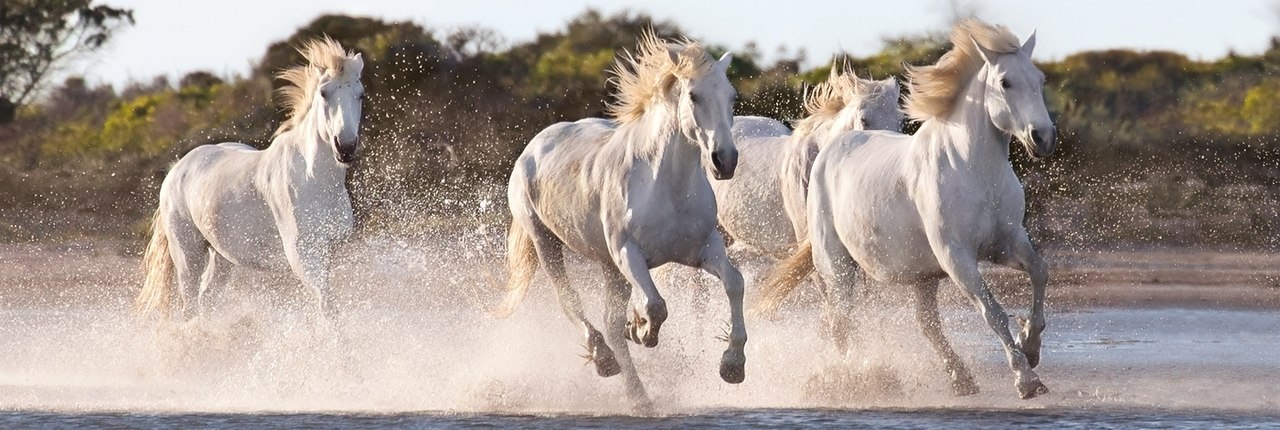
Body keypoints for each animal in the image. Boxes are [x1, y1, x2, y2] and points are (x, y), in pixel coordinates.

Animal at [136, 37, 366, 322]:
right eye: (324, 93)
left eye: (360, 94)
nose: (345, 147)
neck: (314, 180)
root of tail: (177, 168)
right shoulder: (302, 253)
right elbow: (327, 305)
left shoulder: (327, 249)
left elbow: (327, 304)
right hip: (188, 253)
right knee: (190, 304)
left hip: (222, 256)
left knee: (206, 299)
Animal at [494, 31, 747, 406]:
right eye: (693, 95)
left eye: (731, 96)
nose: (725, 160)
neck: (665, 187)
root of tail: (534, 146)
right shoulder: (628, 253)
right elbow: (656, 306)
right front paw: (641, 330)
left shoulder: (704, 249)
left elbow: (735, 283)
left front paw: (732, 364)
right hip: (546, 241)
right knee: (572, 302)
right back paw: (608, 363)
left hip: (608, 266)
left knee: (610, 321)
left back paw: (636, 391)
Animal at [752, 20, 1054, 399]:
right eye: (1005, 82)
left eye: (1040, 79)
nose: (1043, 137)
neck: (974, 170)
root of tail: (832, 145)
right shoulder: (957, 257)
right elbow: (993, 312)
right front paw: (1026, 379)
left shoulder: (1006, 243)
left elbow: (1040, 272)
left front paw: (1031, 346)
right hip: (838, 266)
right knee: (840, 321)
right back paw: (849, 379)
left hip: (923, 275)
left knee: (925, 324)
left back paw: (960, 378)